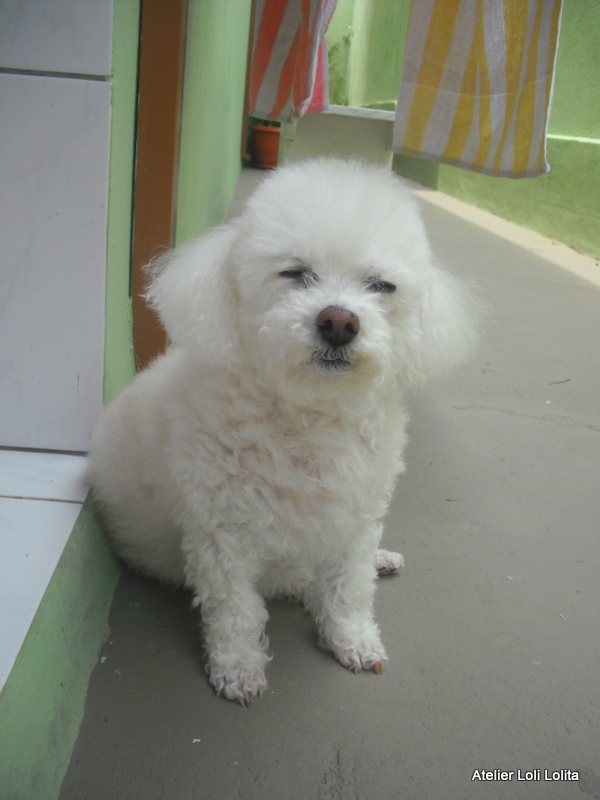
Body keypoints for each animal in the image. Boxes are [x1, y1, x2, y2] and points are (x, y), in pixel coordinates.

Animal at [88, 158, 476, 705]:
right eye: (294, 273)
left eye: (381, 286)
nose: (338, 322)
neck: (308, 419)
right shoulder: (222, 538)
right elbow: (235, 609)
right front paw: (237, 668)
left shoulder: (356, 517)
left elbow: (349, 589)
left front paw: (352, 639)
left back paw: (379, 560)